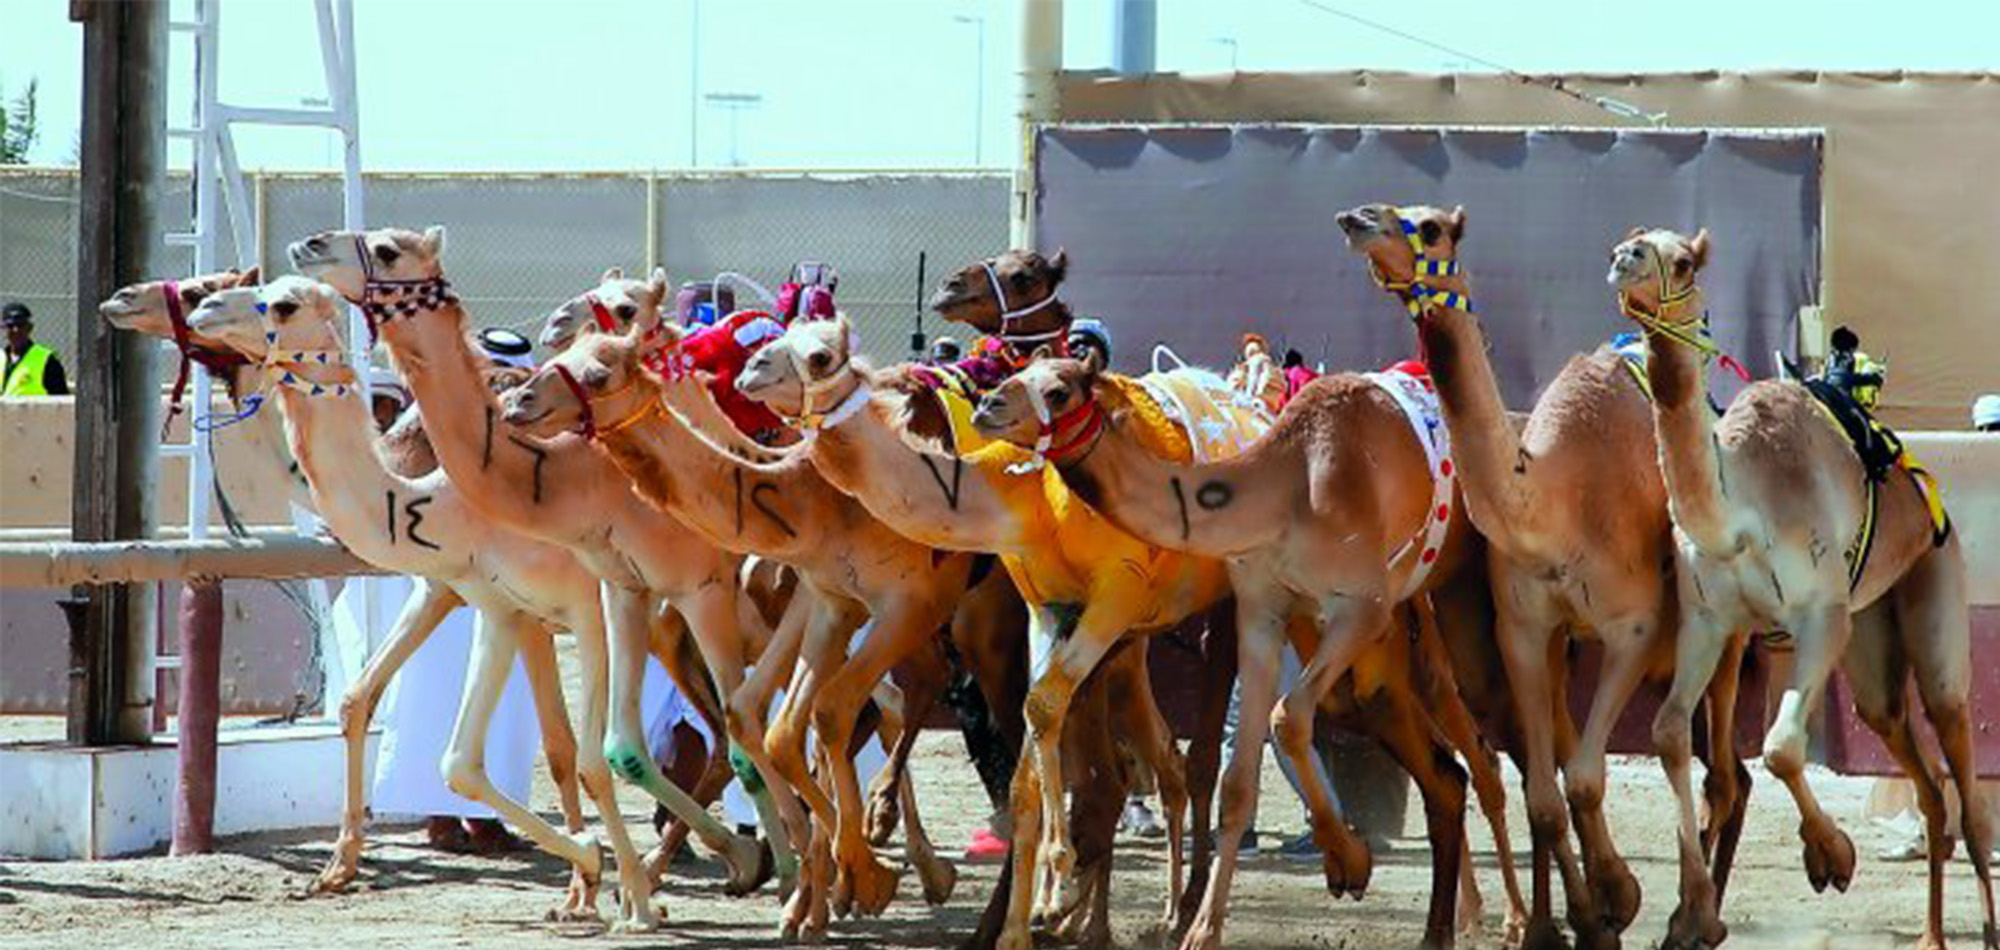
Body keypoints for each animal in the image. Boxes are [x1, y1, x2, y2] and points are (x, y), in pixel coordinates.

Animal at [290, 227, 796, 932]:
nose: (310, 245)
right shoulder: (476, 597)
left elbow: (586, 753)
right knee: (731, 732)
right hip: (672, 626)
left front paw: (611, 885)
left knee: (759, 725)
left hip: (709, 610)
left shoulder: (578, 605)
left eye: (389, 249)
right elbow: (538, 745)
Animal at [1608, 227, 2000, 948]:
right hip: (1871, 636)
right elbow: (1670, 732)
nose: (1626, 259)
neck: (1738, 504)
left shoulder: (1819, 612)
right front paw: (1691, 915)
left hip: (1934, 588)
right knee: (1913, 761)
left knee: (1954, 736)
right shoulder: (1708, 619)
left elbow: (1782, 748)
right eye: (1628, 241)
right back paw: (1931, 934)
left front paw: (1833, 857)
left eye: (1683, 261)